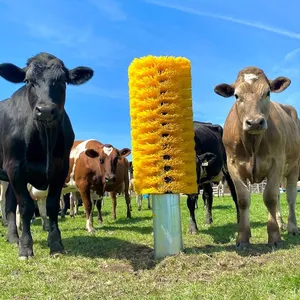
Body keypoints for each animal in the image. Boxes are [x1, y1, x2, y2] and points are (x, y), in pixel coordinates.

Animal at [0, 52, 93, 258]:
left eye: (63, 81)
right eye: (28, 81)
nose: (45, 110)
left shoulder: (60, 169)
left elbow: (52, 206)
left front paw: (56, 244)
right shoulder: (15, 167)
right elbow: (26, 206)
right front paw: (26, 247)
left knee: (9, 203)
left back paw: (13, 238)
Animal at [214, 67, 300, 248]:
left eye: (267, 92)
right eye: (236, 95)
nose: (254, 122)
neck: (252, 145)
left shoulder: (276, 163)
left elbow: (269, 198)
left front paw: (274, 236)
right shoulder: (233, 166)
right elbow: (243, 200)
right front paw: (243, 237)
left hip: (293, 167)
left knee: (290, 197)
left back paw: (292, 227)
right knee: (280, 196)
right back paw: (281, 224)